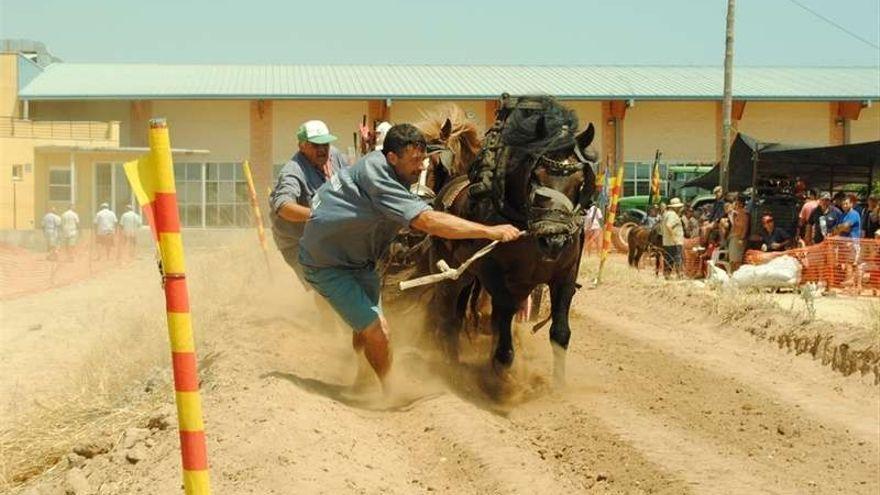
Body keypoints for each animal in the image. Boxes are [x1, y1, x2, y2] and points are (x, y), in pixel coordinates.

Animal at [428, 95, 600, 386]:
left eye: (579, 181)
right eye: (537, 175)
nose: (554, 239)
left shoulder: (564, 276)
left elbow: (560, 333)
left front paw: (559, 387)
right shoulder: (495, 277)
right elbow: (503, 328)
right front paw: (501, 377)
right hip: (451, 273)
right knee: (448, 314)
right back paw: (450, 361)